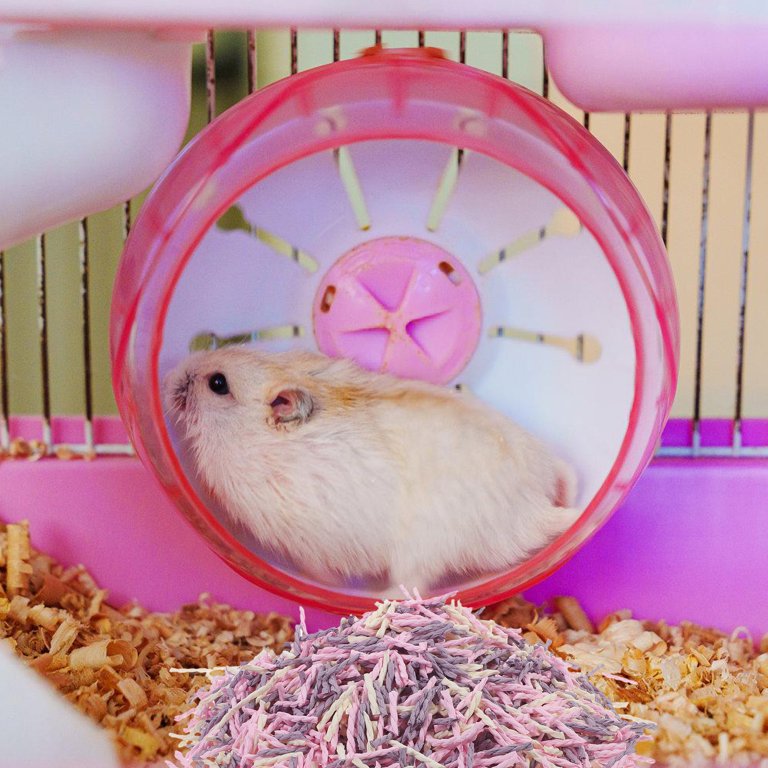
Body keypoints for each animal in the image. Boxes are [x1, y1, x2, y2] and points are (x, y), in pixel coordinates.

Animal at [163, 347, 580, 593]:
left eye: (218, 383)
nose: (168, 376)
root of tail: (534, 510)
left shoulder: (303, 541)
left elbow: (318, 572)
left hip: (423, 551)